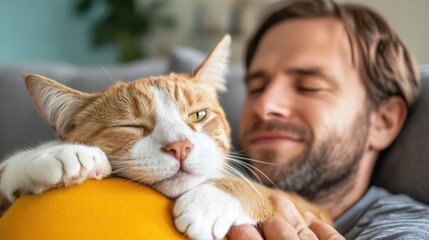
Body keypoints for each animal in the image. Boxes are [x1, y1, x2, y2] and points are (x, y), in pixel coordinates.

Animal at [0, 34, 332, 239]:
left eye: (198, 116)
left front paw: (209, 201)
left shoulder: (311, 210)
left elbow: (256, 190)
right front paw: (58, 153)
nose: (180, 146)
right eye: (132, 127)